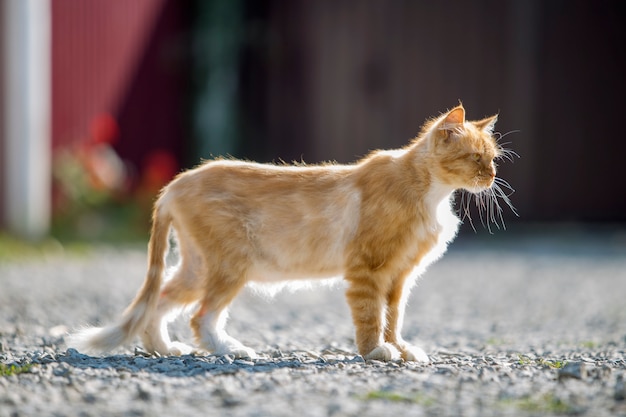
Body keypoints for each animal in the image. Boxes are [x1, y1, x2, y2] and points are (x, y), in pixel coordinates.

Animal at [68, 104, 510, 360]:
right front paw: (375, 352)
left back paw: (163, 348)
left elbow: (394, 317)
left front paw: (400, 348)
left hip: (197, 267)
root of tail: (176, 183)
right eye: (476, 158)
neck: (429, 193)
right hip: (229, 264)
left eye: (494, 159)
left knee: (158, 302)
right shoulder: (367, 271)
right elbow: (370, 316)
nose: (491, 177)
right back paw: (228, 349)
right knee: (200, 316)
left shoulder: (399, 277)